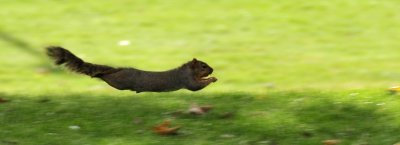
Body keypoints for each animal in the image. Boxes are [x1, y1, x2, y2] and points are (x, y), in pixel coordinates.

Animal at [46, 46, 219, 93]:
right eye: (203, 66)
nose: (212, 69)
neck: (187, 70)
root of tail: (116, 70)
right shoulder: (186, 79)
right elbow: (196, 86)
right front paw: (212, 79)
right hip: (120, 82)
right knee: (106, 77)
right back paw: (100, 74)